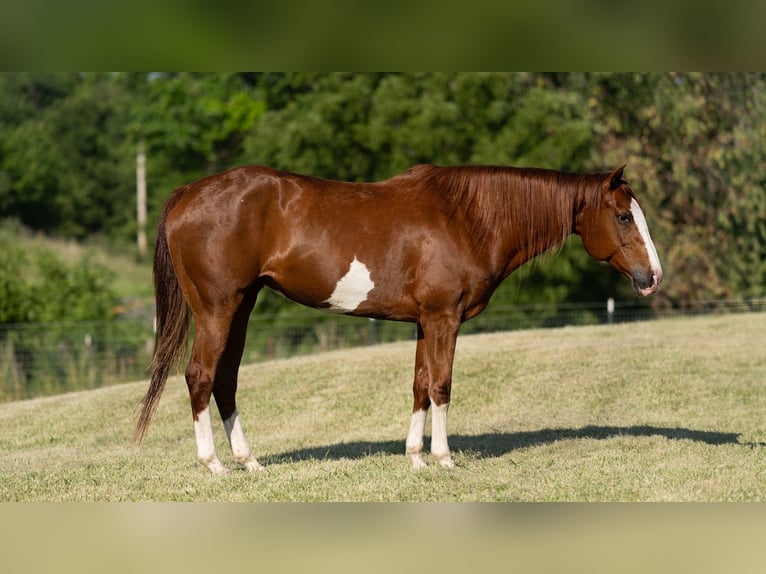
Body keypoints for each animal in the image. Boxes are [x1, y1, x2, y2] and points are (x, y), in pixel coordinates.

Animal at [135, 163, 663, 474]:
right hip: (217, 310)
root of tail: (187, 193)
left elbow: (419, 385)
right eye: (623, 216)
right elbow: (442, 385)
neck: (468, 217)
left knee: (225, 380)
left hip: (242, 307)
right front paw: (444, 459)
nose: (653, 276)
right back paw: (213, 465)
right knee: (200, 376)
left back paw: (249, 461)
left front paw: (415, 458)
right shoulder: (444, 318)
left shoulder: (424, 321)